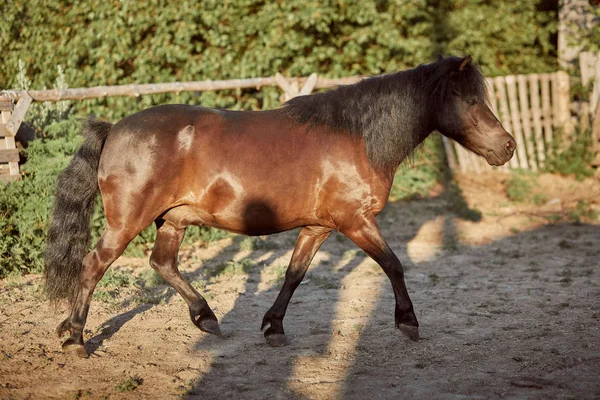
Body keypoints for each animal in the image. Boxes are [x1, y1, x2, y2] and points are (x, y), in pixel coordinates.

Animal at [45, 55, 516, 356]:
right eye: (472, 101)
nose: (508, 146)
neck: (358, 137)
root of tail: (114, 129)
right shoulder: (355, 221)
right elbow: (394, 264)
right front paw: (408, 323)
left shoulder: (318, 227)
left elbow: (294, 275)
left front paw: (273, 328)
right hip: (128, 220)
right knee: (94, 264)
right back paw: (75, 339)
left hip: (172, 220)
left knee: (163, 264)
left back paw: (206, 317)